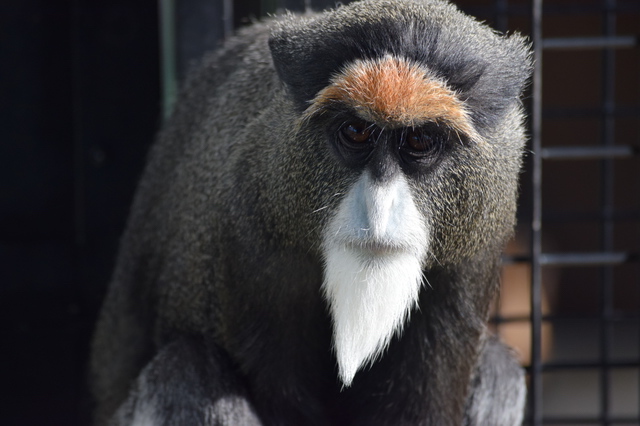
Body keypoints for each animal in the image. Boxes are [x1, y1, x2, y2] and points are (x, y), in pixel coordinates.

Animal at [89, 0, 528, 424]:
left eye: (419, 139)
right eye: (355, 131)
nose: (379, 208)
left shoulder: (473, 253)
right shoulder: (251, 226)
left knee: (500, 370)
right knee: (186, 370)